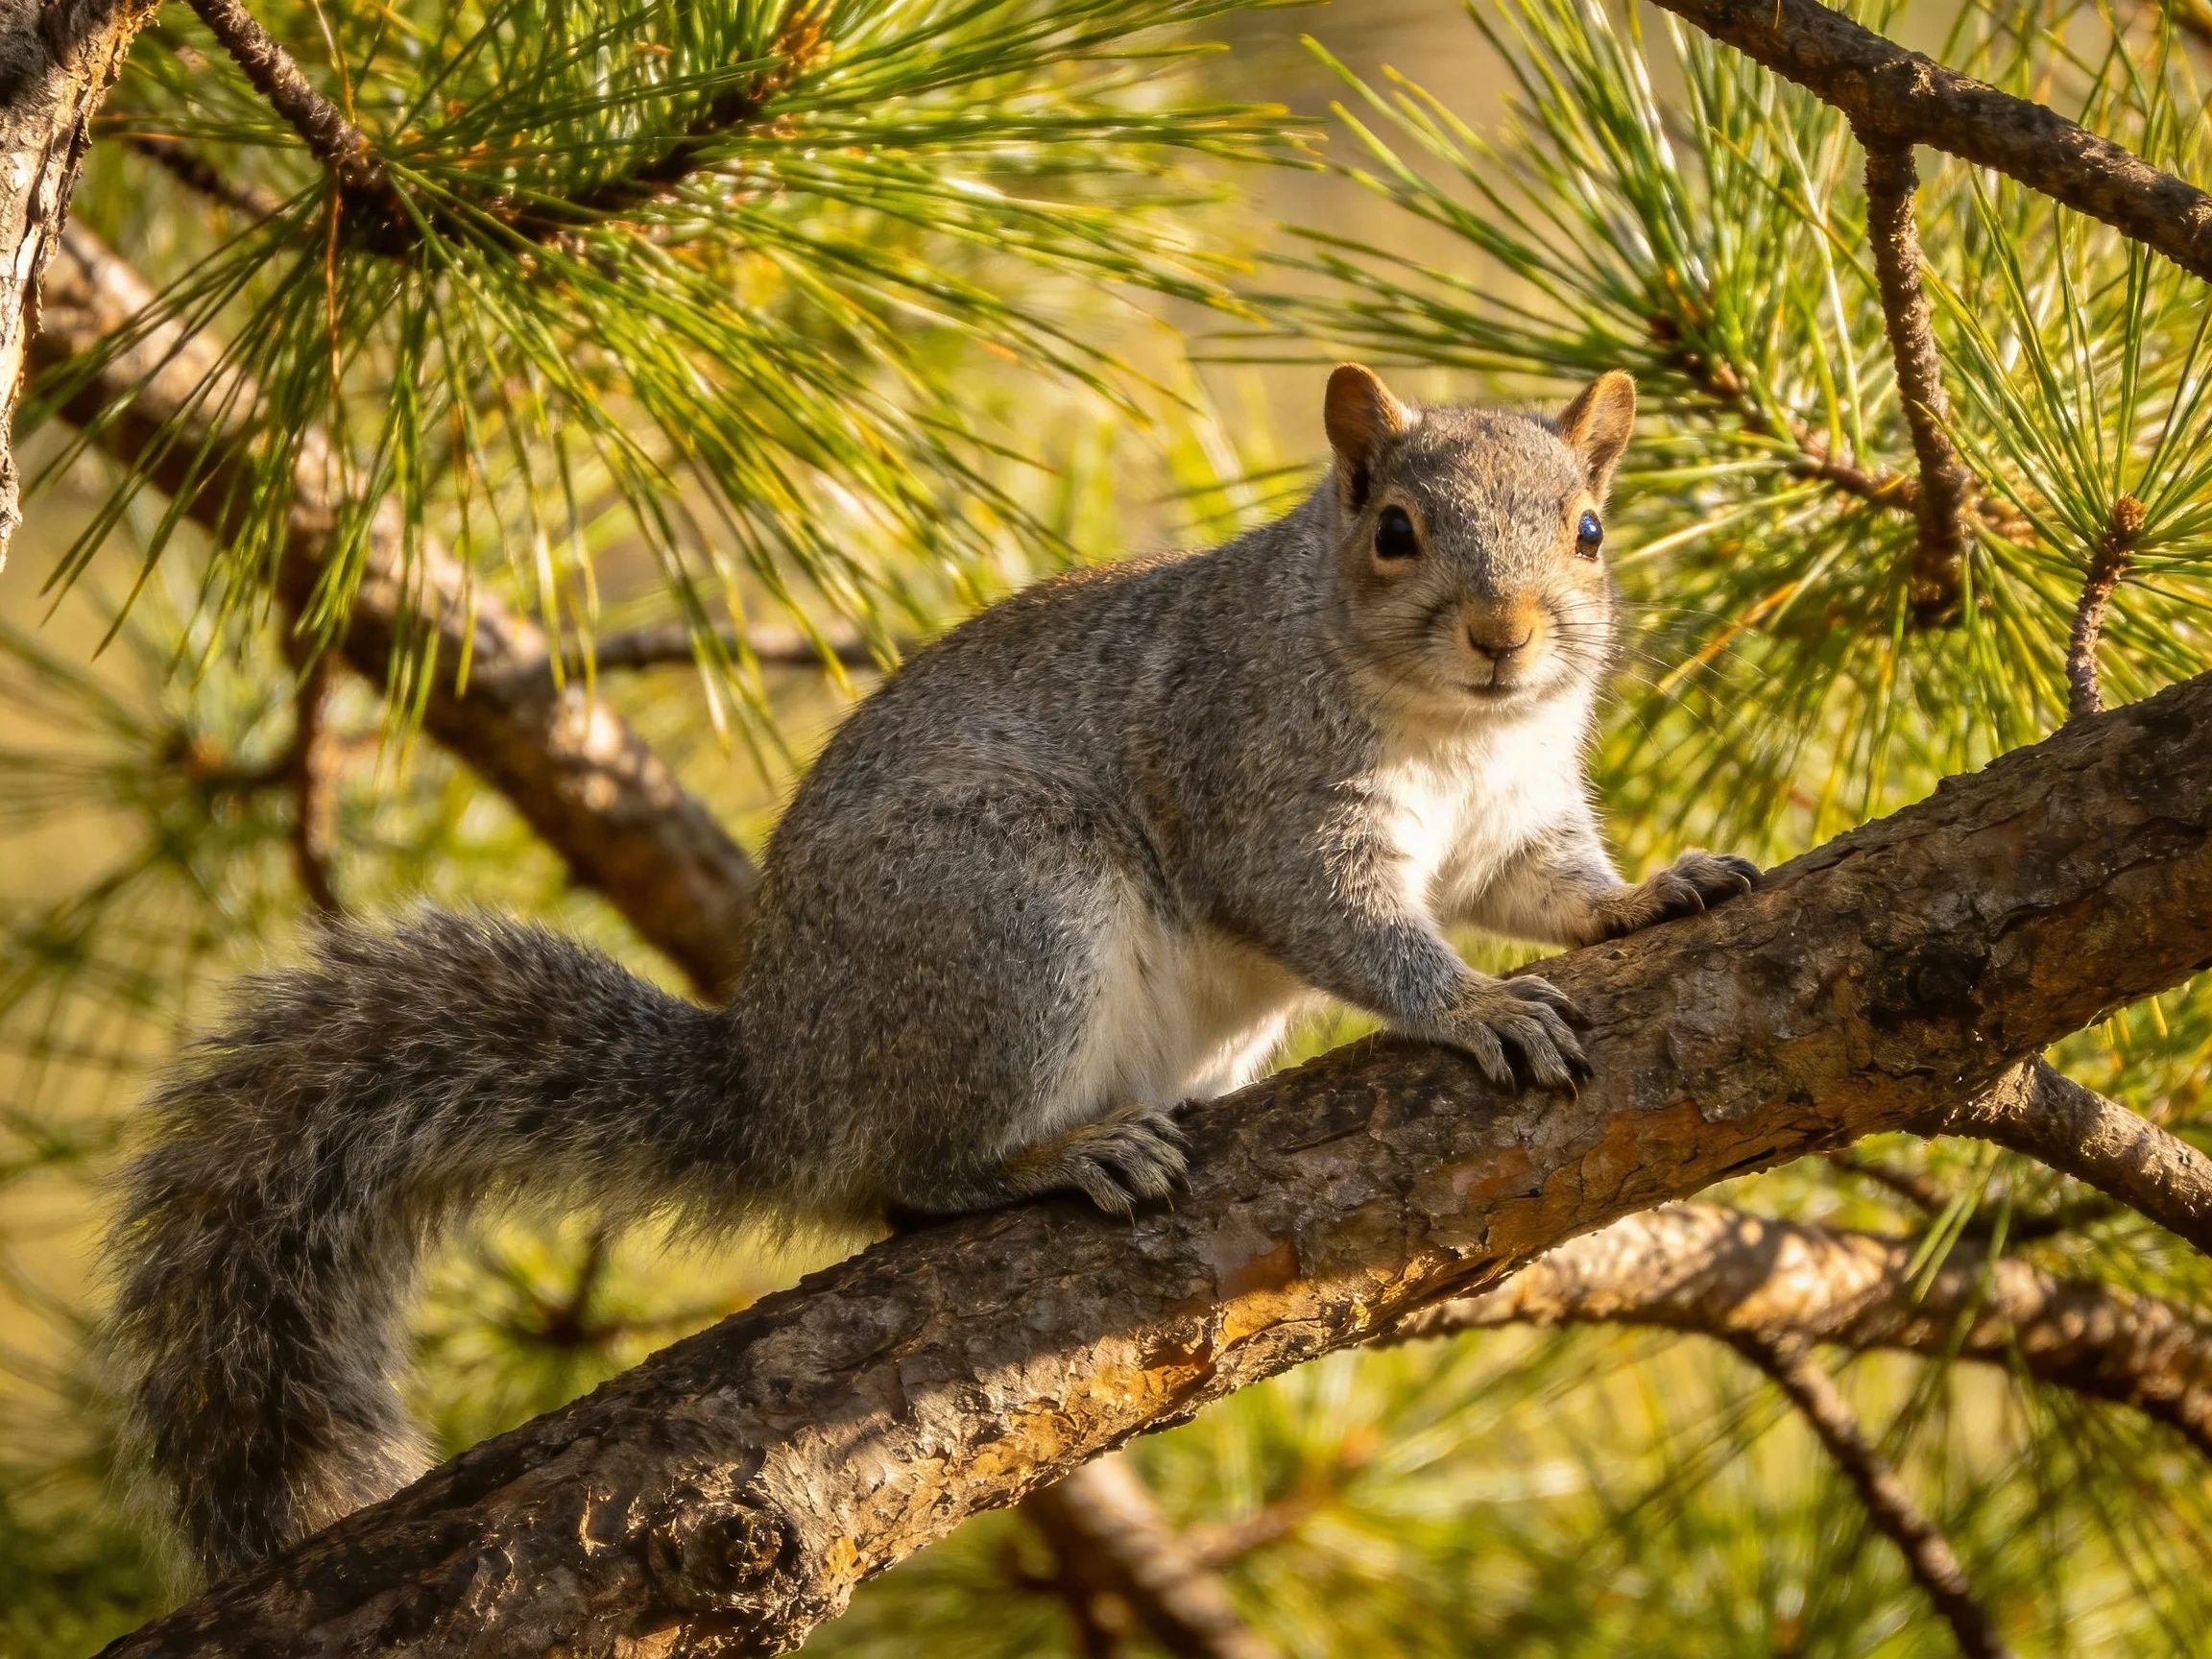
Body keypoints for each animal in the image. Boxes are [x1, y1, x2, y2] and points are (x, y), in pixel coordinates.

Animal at [109, 365, 1759, 1578]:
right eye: (1397, 529)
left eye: (1591, 529)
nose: (1504, 635)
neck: (1454, 724)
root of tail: (782, 1081)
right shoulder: (1259, 788)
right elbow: (1354, 922)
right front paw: (1473, 1006)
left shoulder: (1514, 818)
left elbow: (1542, 888)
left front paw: (1652, 894)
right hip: (1008, 925)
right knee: (911, 1177)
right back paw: (1060, 1157)